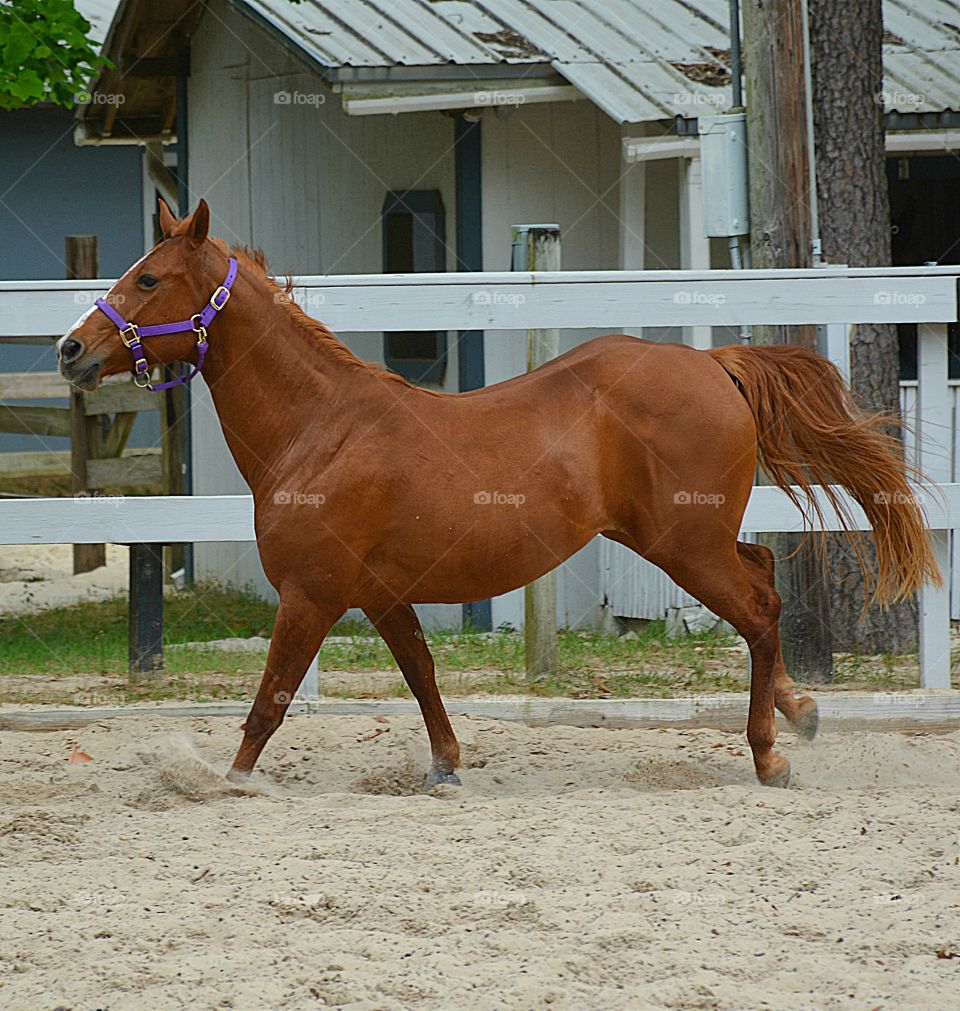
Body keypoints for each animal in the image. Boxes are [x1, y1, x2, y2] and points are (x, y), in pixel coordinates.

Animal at [58, 203, 937, 788]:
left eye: (149, 277)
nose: (71, 349)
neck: (320, 428)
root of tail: (714, 364)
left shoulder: (311, 594)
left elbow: (269, 703)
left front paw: (231, 782)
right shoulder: (379, 595)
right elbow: (421, 674)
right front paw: (446, 766)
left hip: (683, 546)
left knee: (756, 609)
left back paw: (768, 751)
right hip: (689, 538)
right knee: (763, 578)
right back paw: (801, 708)